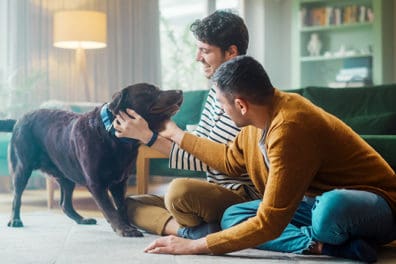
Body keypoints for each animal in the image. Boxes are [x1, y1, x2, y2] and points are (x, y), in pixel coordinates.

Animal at [0, 83, 183, 237]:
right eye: (149, 91)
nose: (180, 91)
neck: (113, 136)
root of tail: (18, 120)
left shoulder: (120, 182)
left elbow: (121, 207)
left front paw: (127, 225)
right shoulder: (96, 183)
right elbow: (110, 208)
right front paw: (124, 229)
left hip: (66, 175)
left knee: (65, 204)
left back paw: (82, 219)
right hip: (21, 168)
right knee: (17, 196)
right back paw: (15, 220)